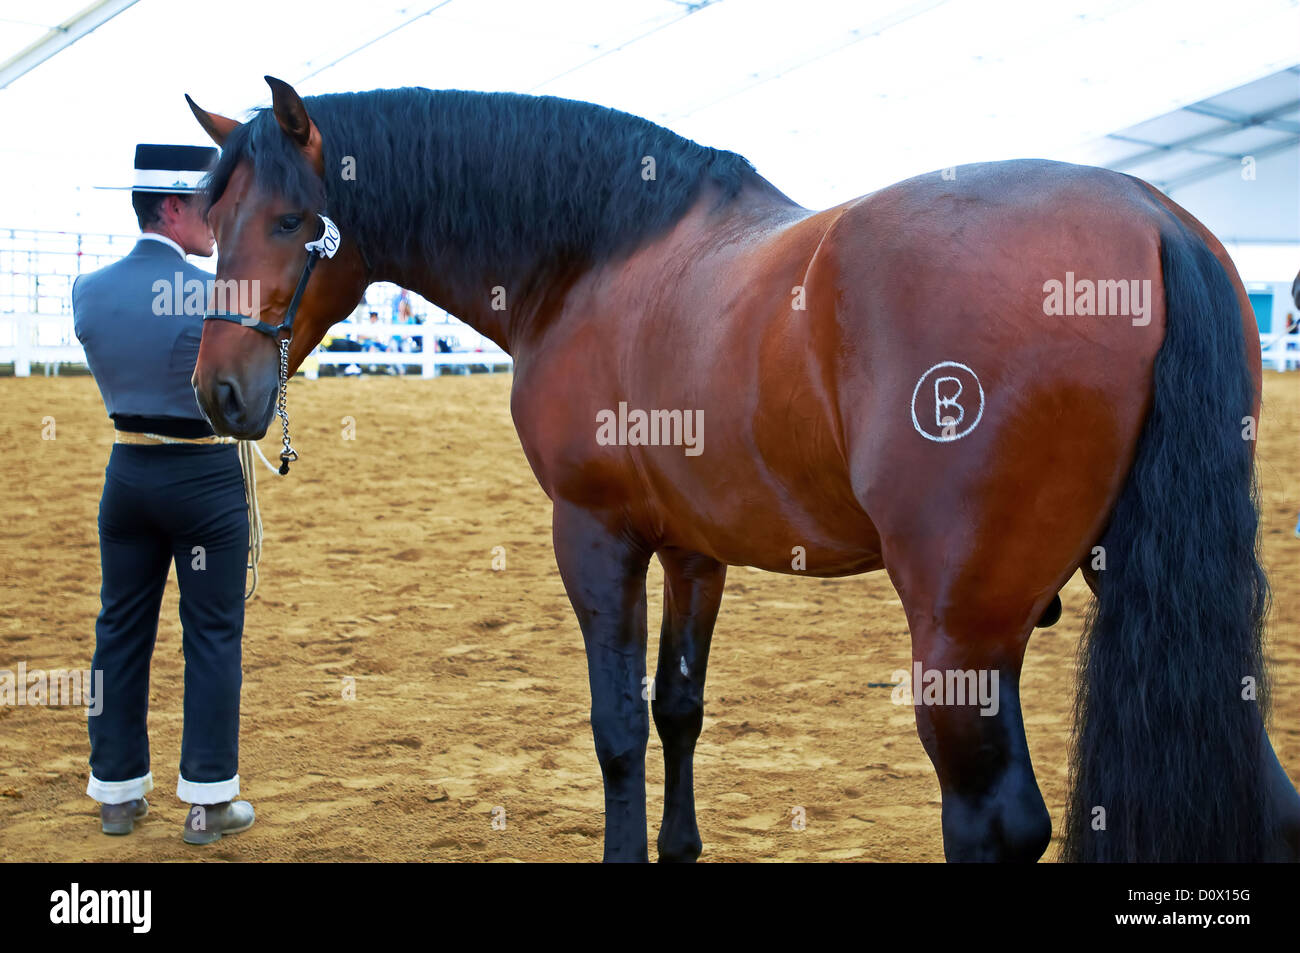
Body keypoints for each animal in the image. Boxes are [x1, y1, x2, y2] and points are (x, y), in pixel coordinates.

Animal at [185, 76, 1300, 862]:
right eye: (212, 224)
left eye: (292, 222)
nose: (219, 393)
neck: (596, 257)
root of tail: (1150, 219)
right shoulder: (694, 550)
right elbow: (678, 710)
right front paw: (679, 846)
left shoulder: (595, 534)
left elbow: (617, 727)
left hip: (963, 630)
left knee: (994, 822)